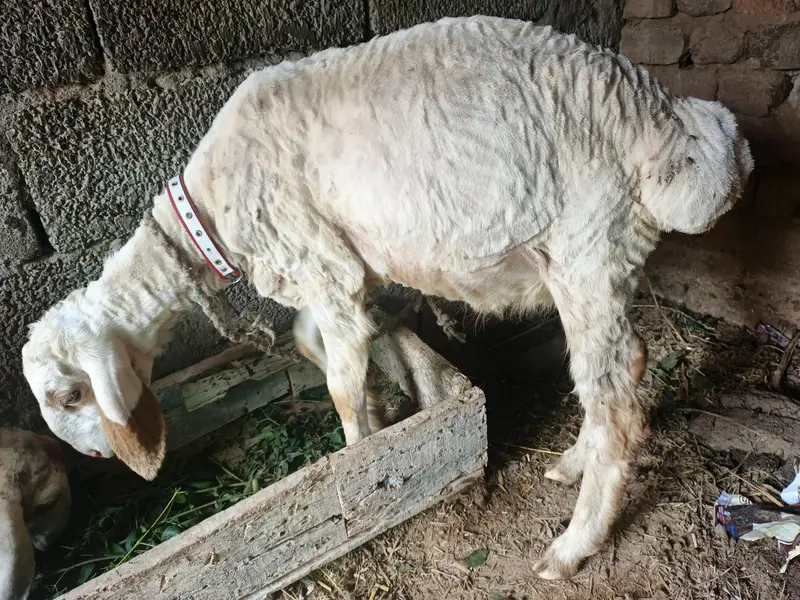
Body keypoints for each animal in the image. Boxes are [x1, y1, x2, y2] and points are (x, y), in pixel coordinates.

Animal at [21, 15, 753, 579]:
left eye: (69, 395)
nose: (93, 459)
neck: (209, 216)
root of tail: (673, 129)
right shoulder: (332, 270)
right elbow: (315, 343)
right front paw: (381, 402)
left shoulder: (319, 265)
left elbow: (340, 386)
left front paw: (358, 457)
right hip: (595, 262)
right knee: (629, 368)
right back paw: (572, 464)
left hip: (589, 248)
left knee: (620, 401)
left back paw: (572, 547)